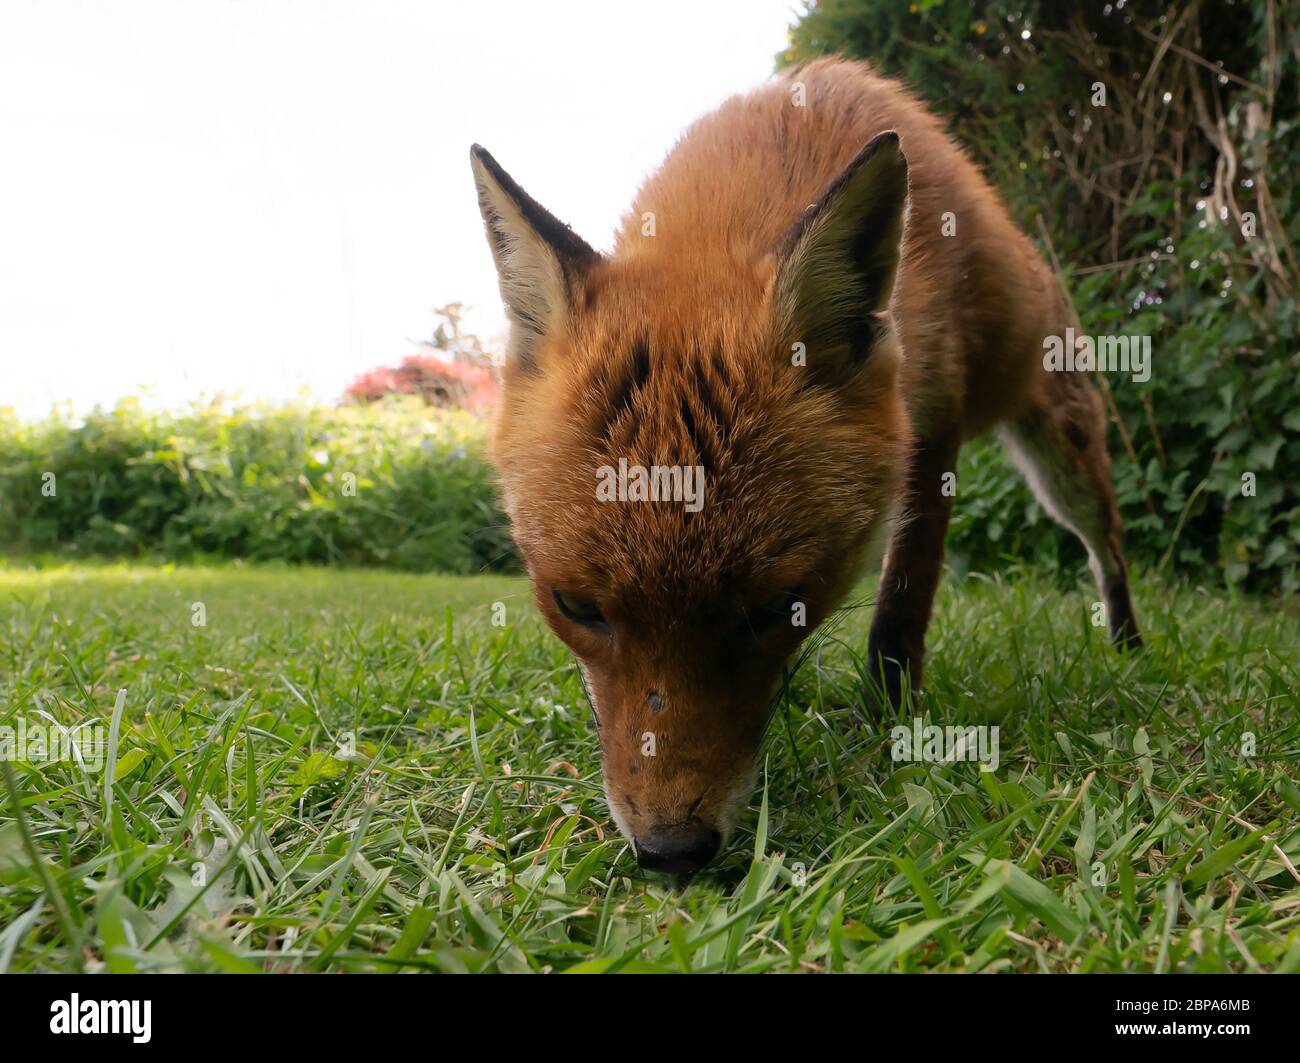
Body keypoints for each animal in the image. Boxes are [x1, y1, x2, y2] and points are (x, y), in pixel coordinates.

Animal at [470, 57, 1140, 875]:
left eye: (777, 608)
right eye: (575, 607)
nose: (671, 852)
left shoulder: (933, 425)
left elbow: (902, 604)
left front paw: (884, 719)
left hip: (1061, 457)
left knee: (1107, 546)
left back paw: (1129, 646)